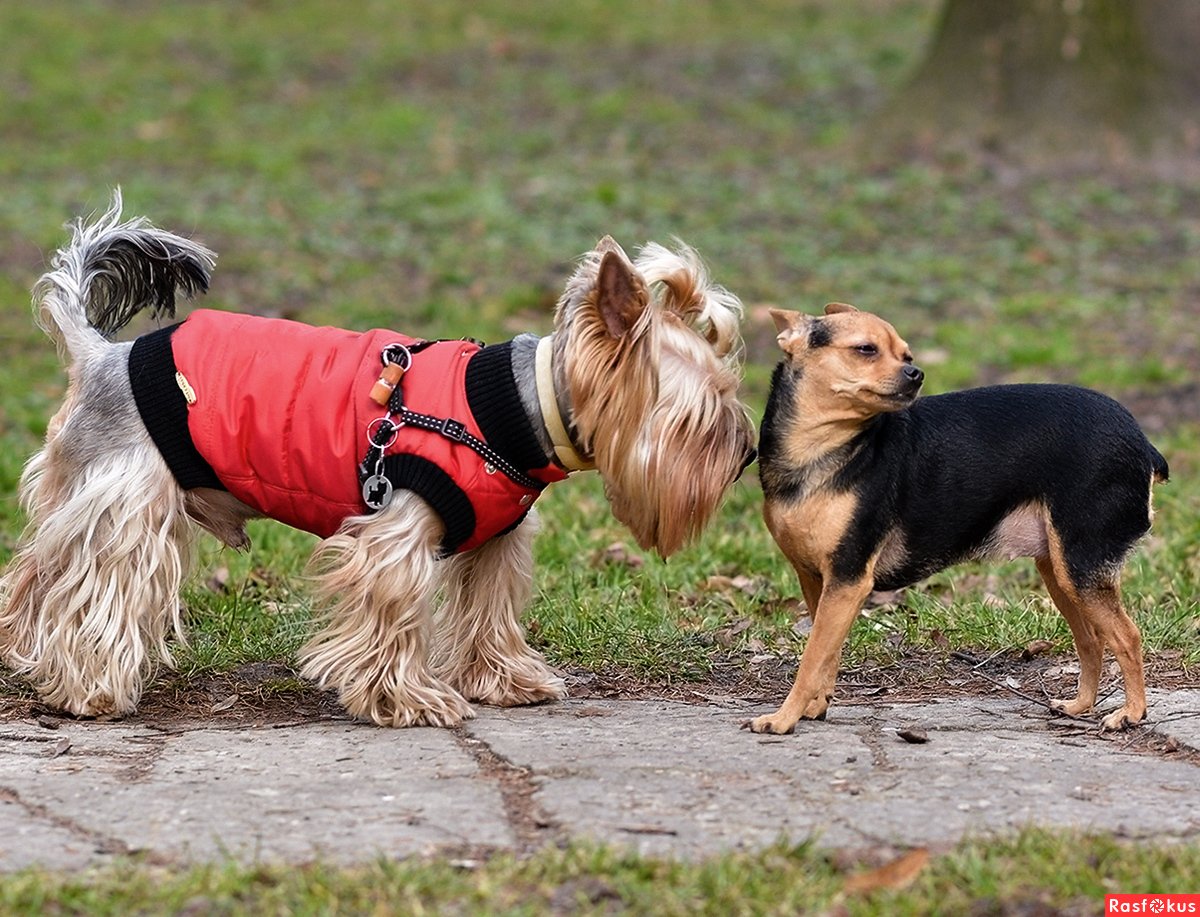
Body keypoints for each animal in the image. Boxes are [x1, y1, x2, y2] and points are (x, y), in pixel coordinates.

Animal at [0, 196, 748, 724]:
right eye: (703, 417)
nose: (745, 453)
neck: (518, 405)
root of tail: (99, 354)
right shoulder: (394, 530)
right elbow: (392, 609)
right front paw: (410, 700)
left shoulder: (497, 537)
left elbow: (490, 606)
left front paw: (507, 680)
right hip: (128, 500)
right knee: (100, 585)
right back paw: (89, 690)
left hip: (79, 489)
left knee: (34, 575)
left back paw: (24, 654)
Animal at [753, 304, 1166, 734]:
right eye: (866, 350)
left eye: (907, 355)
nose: (915, 373)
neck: (822, 448)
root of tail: (1142, 443)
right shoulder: (819, 582)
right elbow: (826, 654)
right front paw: (815, 706)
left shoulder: (848, 580)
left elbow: (812, 658)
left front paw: (783, 719)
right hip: (1060, 571)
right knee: (1091, 639)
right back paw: (1080, 705)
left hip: (1081, 568)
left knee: (1127, 636)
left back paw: (1131, 712)